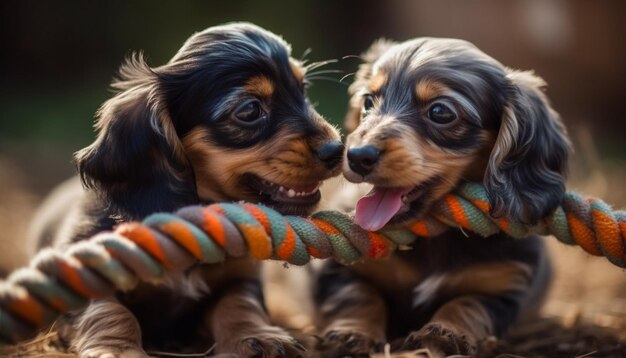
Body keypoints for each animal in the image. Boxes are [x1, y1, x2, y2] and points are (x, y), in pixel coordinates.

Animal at [29, 23, 342, 358]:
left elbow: (238, 302)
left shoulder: (239, 276)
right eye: (249, 110)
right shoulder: (80, 272)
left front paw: (257, 335)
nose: (337, 149)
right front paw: (117, 349)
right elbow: (109, 310)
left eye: (303, 89)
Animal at [314, 37, 568, 356]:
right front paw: (352, 333)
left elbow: (468, 305)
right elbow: (358, 295)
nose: (357, 156)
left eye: (440, 112)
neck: (434, 235)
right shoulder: (341, 268)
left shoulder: (501, 285)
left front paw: (446, 332)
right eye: (368, 101)